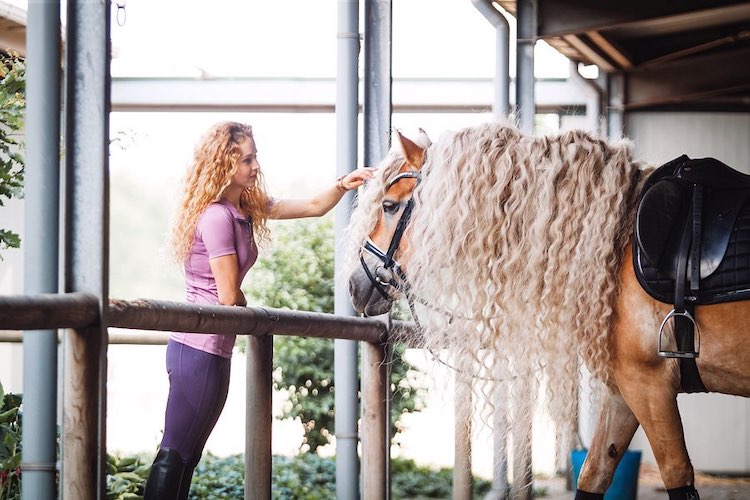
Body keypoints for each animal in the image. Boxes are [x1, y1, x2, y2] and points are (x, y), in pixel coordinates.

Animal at [346, 122, 750, 500]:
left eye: (389, 206)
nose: (354, 284)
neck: (617, 242)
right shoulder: (625, 389)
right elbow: (593, 475)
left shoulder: (650, 385)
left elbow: (677, 475)